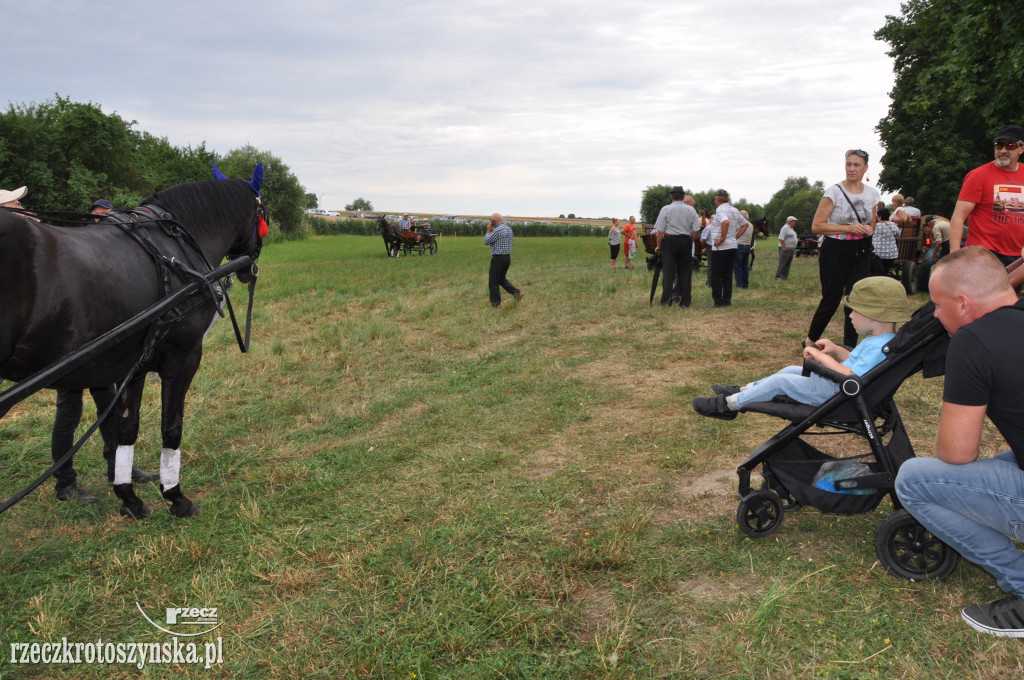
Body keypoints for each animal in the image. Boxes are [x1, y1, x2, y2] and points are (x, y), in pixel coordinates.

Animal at [1, 171, 264, 520]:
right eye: (262, 212)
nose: (249, 268)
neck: (173, 246)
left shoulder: (135, 364)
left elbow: (125, 428)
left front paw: (129, 498)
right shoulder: (183, 357)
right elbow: (171, 427)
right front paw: (176, 497)